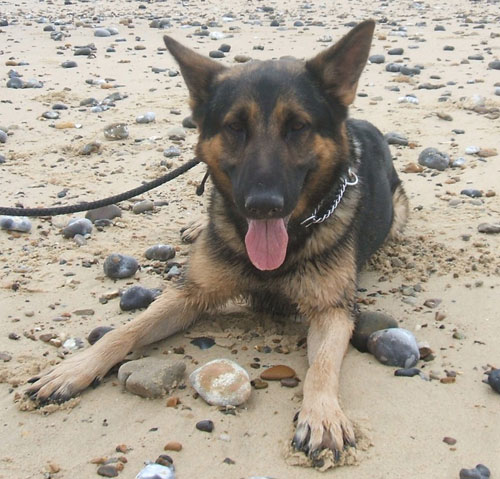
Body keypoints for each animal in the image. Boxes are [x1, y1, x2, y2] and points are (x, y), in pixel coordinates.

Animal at [27, 19, 408, 462]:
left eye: (297, 126)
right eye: (235, 127)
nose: (263, 206)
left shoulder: (333, 311)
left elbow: (323, 366)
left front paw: (323, 414)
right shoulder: (189, 293)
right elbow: (127, 330)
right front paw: (76, 368)